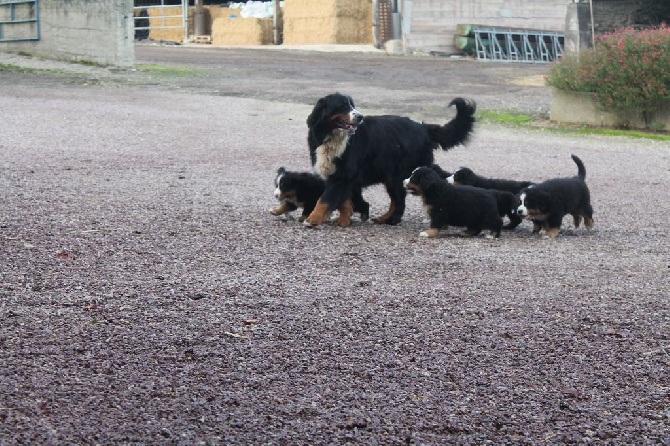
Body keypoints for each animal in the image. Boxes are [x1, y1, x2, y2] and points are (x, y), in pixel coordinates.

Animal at [302, 93, 476, 226]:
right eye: (342, 105)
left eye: (351, 105)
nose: (360, 117)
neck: (333, 137)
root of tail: (424, 128)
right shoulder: (339, 175)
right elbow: (343, 200)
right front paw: (343, 220)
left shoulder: (344, 175)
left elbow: (325, 199)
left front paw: (312, 219)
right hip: (392, 177)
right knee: (395, 201)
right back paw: (383, 218)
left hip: (400, 175)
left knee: (399, 202)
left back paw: (391, 220)